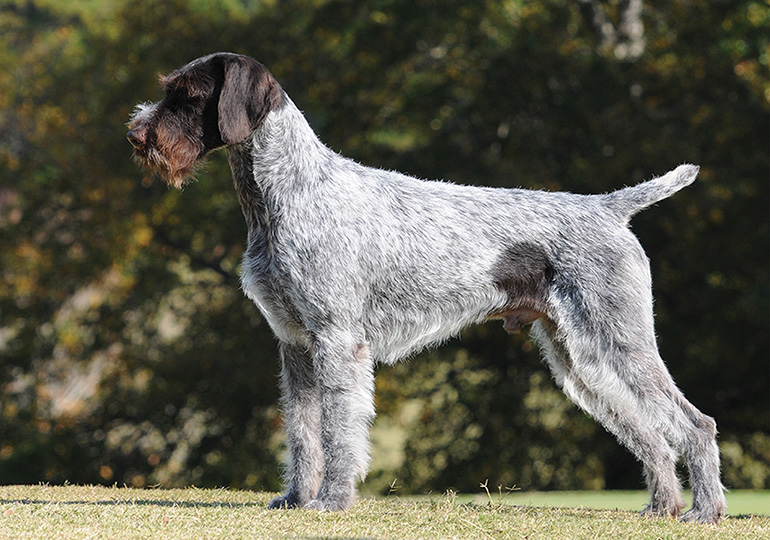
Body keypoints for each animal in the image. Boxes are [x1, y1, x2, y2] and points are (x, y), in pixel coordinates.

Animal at [127, 52, 728, 520]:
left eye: (188, 95)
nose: (135, 134)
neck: (286, 192)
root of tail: (608, 207)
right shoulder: (294, 345)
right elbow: (301, 431)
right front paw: (296, 499)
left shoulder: (337, 341)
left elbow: (338, 429)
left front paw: (332, 501)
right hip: (579, 359)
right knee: (649, 435)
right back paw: (661, 508)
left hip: (618, 343)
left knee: (695, 424)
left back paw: (704, 511)